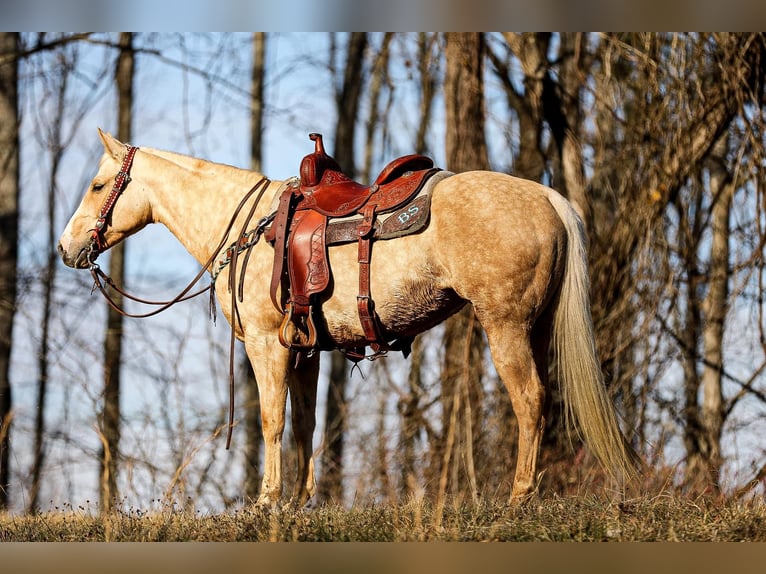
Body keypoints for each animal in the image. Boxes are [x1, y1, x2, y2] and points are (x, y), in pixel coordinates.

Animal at [57, 132, 640, 508]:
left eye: (97, 185)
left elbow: (270, 421)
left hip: (506, 326)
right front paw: (300, 501)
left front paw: (266, 503)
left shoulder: (267, 345)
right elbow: (305, 424)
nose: (65, 247)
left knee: (530, 401)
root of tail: (547, 195)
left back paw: (518, 498)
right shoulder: (306, 350)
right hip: (535, 328)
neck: (248, 229)